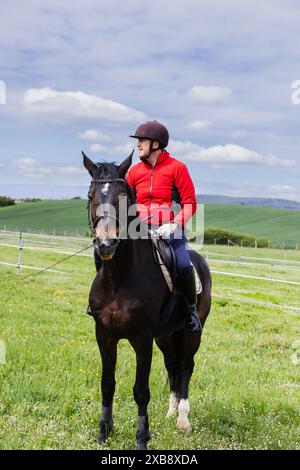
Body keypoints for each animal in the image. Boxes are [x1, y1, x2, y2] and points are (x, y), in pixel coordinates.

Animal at [83, 152, 212, 450]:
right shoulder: (104, 335)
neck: (118, 278)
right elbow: (107, 384)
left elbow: (141, 391)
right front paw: (104, 433)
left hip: (191, 333)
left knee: (186, 366)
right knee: (173, 365)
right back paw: (171, 411)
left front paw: (142, 439)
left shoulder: (142, 340)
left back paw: (182, 419)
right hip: (165, 336)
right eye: (91, 195)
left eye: (122, 196)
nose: (105, 244)